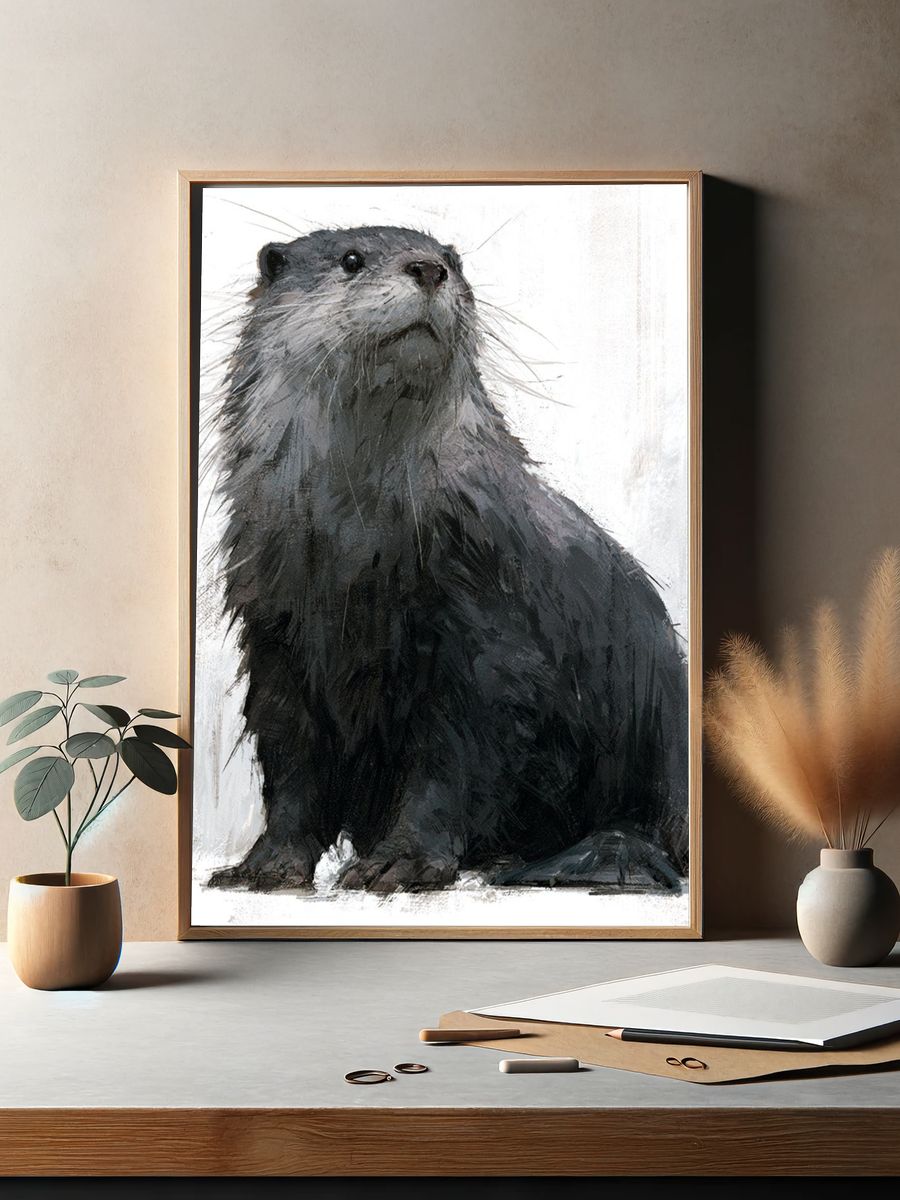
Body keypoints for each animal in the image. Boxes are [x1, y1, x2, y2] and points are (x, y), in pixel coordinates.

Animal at [208, 225, 688, 895]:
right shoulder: (276, 630)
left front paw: (401, 860)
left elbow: (454, 757)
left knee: (646, 829)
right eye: (351, 260)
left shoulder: (485, 623)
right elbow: (291, 758)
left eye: (454, 261)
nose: (429, 268)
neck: (360, 561)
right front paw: (268, 864)